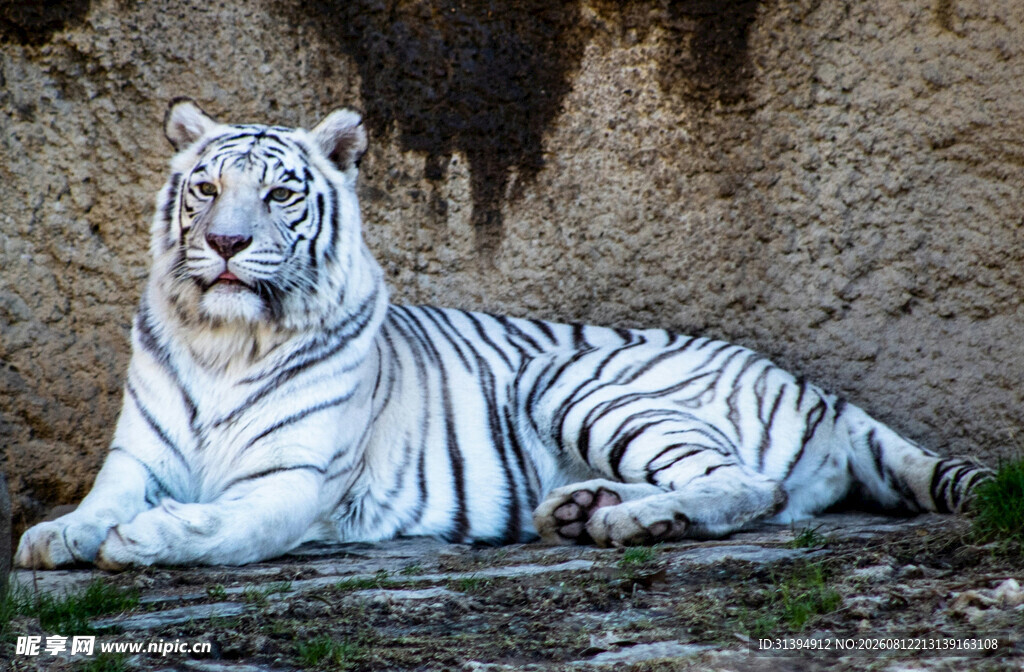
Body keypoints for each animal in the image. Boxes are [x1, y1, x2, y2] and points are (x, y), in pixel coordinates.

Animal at [15, 99, 990, 569]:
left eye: (282, 193)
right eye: (207, 188)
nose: (224, 244)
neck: (225, 341)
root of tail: (820, 392)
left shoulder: (293, 479)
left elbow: (226, 527)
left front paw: (145, 541)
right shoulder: (137, 457)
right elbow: (99, 501)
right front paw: (56, 537)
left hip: (573, 381)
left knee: (750, 486)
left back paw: (634, 522)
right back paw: (586, 509)